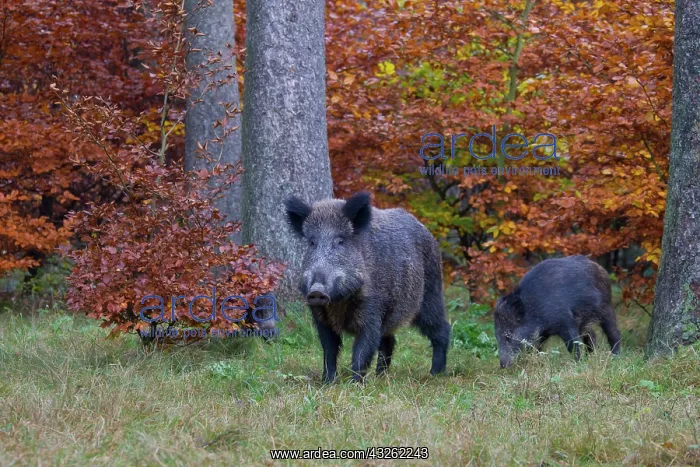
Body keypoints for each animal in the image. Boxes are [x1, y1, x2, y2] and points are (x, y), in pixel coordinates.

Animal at [283, 191, 451, 383]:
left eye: (340, 241)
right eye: (312, 242)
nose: (317, 290)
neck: (338, 302)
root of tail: (429, 234)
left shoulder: (372, 311)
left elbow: (362, 349)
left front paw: (354, 383)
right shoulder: (321, 317)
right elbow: (329, 349)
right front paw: (327, 382)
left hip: (430, 295)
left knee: (441, 329)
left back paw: (435, 373)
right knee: (388, 340)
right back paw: (380, 376)